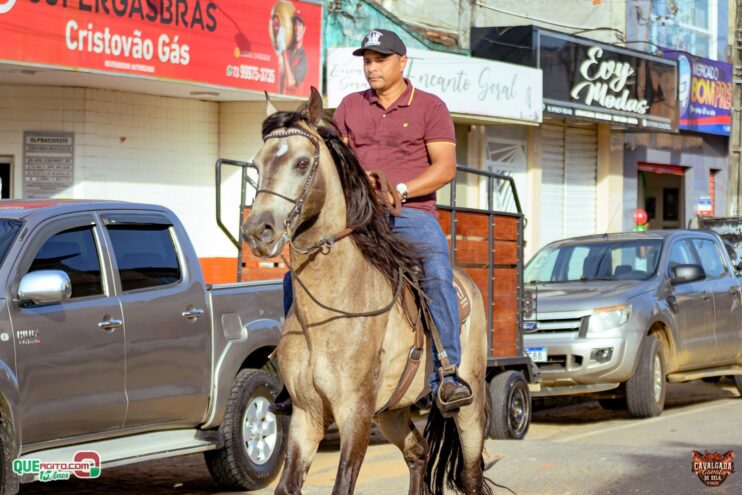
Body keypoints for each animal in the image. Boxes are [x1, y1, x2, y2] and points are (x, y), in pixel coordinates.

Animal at [242, 88, 493, 495]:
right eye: (256, 164)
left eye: (301, 163)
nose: (258, 230)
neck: (333, 310)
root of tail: (467, 283)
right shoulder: (307, 415)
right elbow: (287, 486)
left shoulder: (355, 415)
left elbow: (343, 485)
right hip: (392, 411)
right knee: (418, 452)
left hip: (468, 408)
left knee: (470, 474)